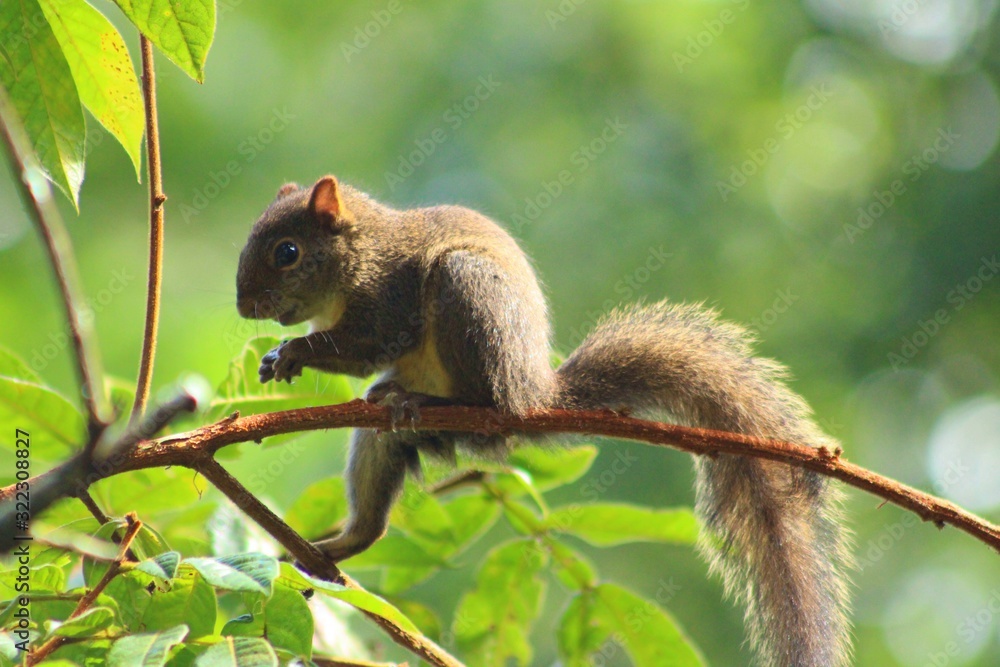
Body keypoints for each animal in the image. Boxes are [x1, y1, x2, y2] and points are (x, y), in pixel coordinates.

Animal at [236, 175, 852, 667]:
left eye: (287, 251)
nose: (244, 307)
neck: (359, 254)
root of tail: (533, 394)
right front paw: (274, 358)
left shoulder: (387, 301)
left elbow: (364, 347)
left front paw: (293, 352)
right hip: (384, 437)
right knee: (374, 518)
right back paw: (331, 545)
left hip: (467, 292)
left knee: (485, 400)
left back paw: (427, 400)